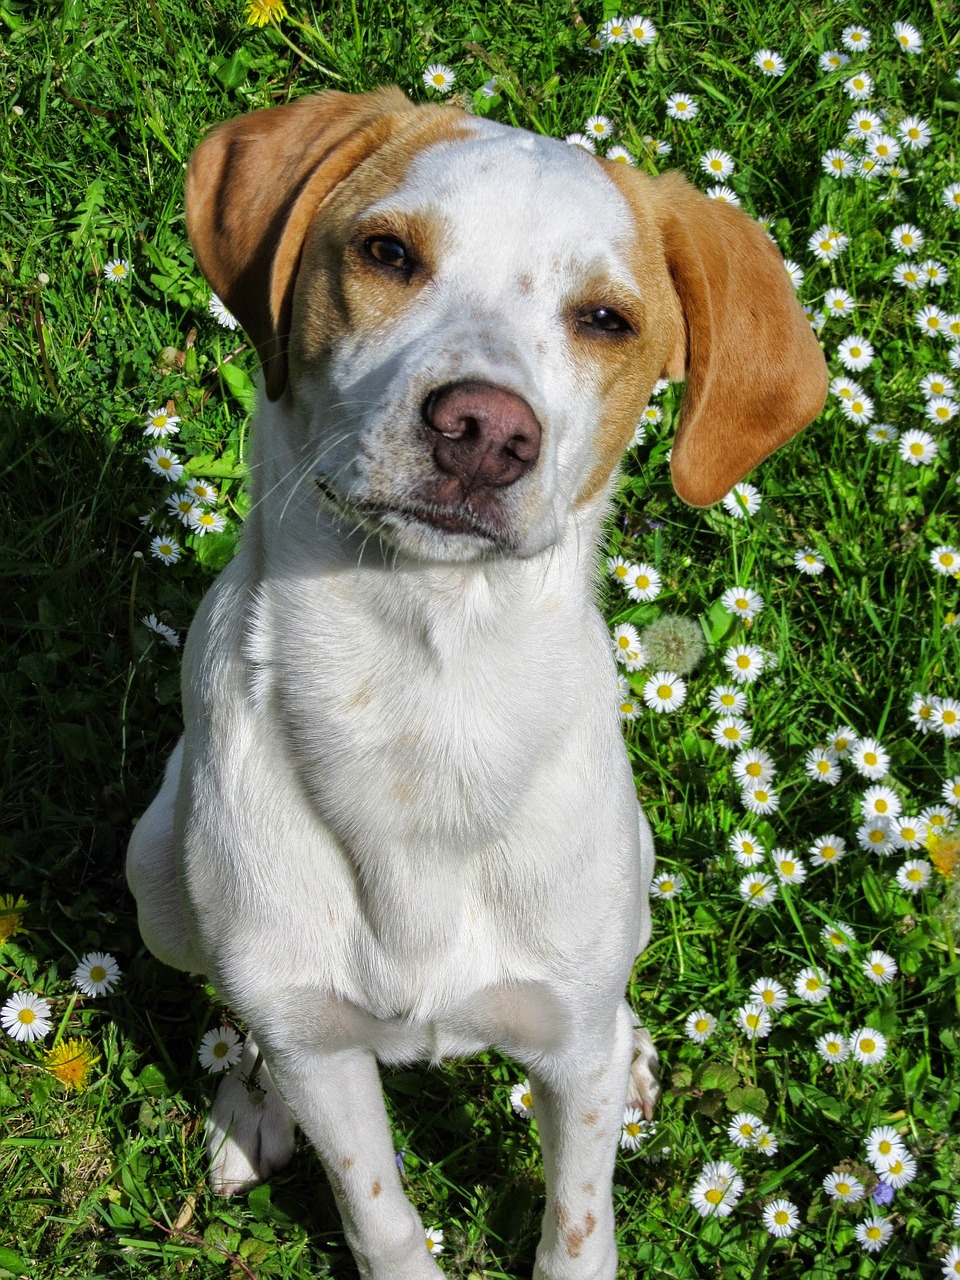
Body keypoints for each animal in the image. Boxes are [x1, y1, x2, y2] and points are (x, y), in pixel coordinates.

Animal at [128, 85, 829, 1274]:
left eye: (607, 321)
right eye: (387, 252)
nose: (485, 429)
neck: (424, 701)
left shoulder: (567, 1050)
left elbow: (578, 1224)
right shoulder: (324, 1057)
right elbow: (379, 1215)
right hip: (159, 886)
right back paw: (248, 1101)